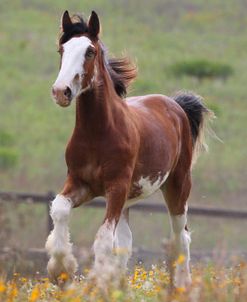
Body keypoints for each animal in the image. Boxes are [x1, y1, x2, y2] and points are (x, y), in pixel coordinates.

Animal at [45, 10, 213, 288]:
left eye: (90, 51)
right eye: (62, 49)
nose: (61, 92)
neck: (98, 134)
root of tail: (175, 105)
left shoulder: (116, 187)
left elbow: (103, 238)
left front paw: (98, 282)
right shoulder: (82, 184)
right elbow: (59, 209)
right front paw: (61, 269)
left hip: (177, 186)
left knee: (181, 237)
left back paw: (182, 285)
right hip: (128, 201)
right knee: (126, 242)